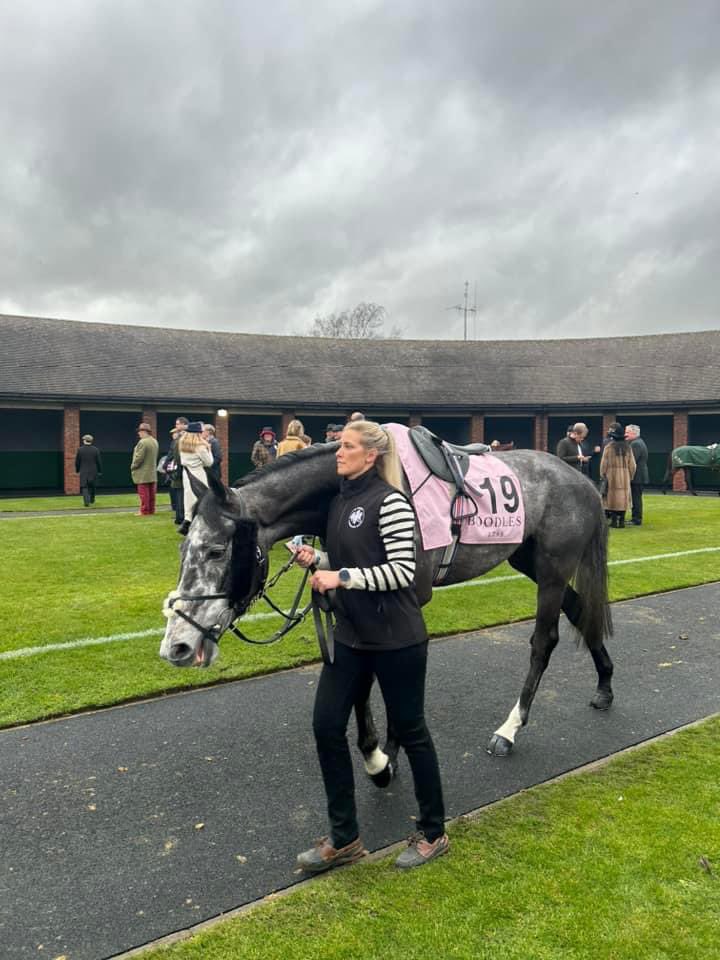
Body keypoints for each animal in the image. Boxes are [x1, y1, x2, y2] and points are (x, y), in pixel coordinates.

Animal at [160, 438, 612, 776]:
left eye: (217, 551)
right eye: (183, 549)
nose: (176, 646)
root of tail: (582, 480)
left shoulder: (405, 592)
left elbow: (390, 663)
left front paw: (388, 752)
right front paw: (375, 749)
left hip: (552, 569)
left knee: (543, 641)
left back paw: (510, 727)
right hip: (528, 559)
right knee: (580, 611)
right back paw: (605, 685)